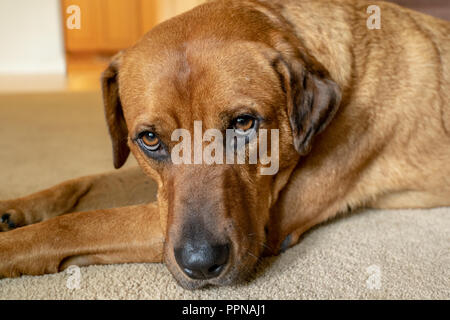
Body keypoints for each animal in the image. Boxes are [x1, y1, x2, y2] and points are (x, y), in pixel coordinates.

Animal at [0, 0, 450, 290]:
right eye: (150, 139)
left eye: (243, 123)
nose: (202, 266)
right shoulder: (159, 194)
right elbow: (80, 185)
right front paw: (13, 209)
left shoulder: (264, 225)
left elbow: (76, 225)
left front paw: (10, 247)